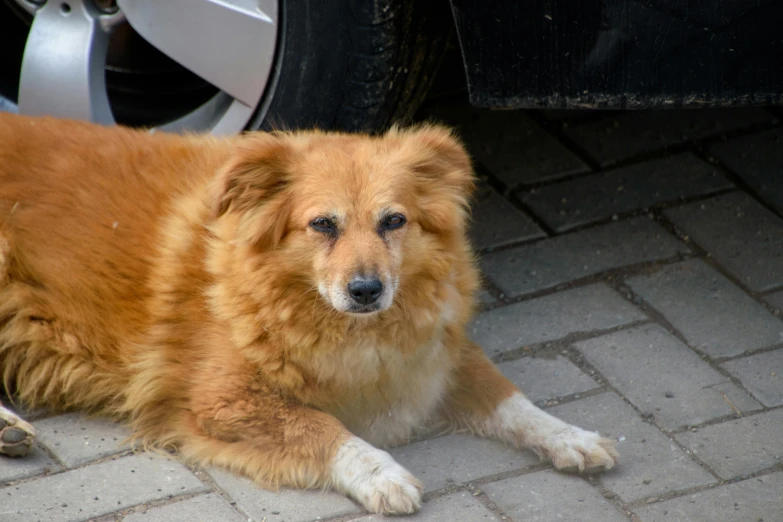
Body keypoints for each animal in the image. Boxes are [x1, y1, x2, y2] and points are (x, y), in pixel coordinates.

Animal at [0, 112, 620, 512]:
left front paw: (570, 436)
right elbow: (320, 424)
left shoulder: (434, 356)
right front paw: (380, 472)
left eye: (394, 221)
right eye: (323, 224)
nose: (367, 290)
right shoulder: (221, 399)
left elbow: (511, 399)